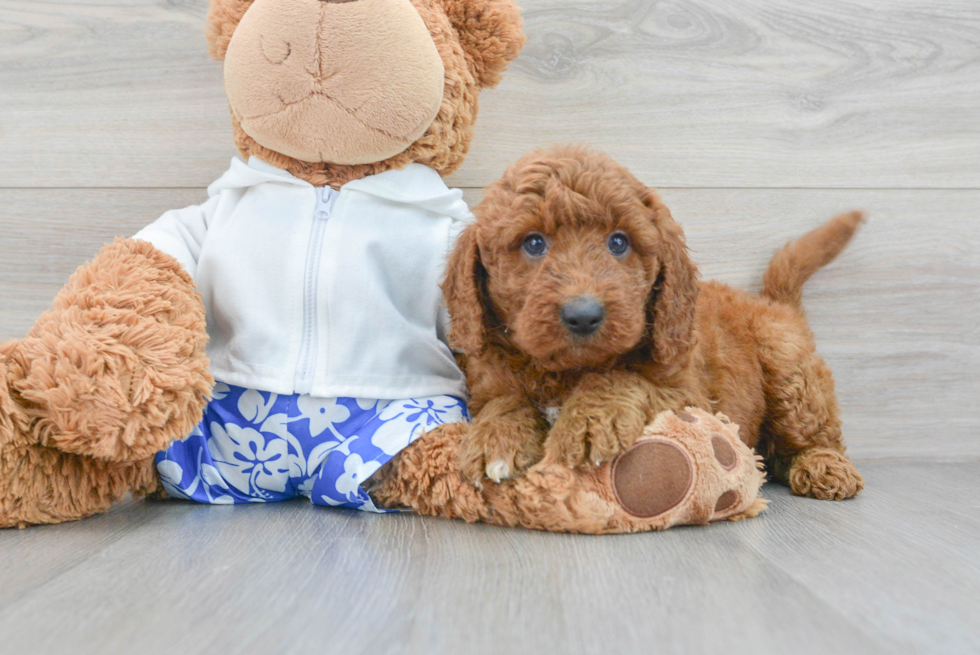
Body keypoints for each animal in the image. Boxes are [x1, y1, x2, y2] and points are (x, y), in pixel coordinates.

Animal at [446, 146, 864, 500]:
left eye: (618, 243)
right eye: (533, 243)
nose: (583, 315)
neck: (567, 371)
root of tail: (769, 302)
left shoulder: (691, 399)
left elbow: (623, 378)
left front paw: (588, 422)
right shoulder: (486, 382)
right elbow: (505, 399)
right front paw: (495, 439)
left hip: (792, 375)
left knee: (816, 433)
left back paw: (823, 466)